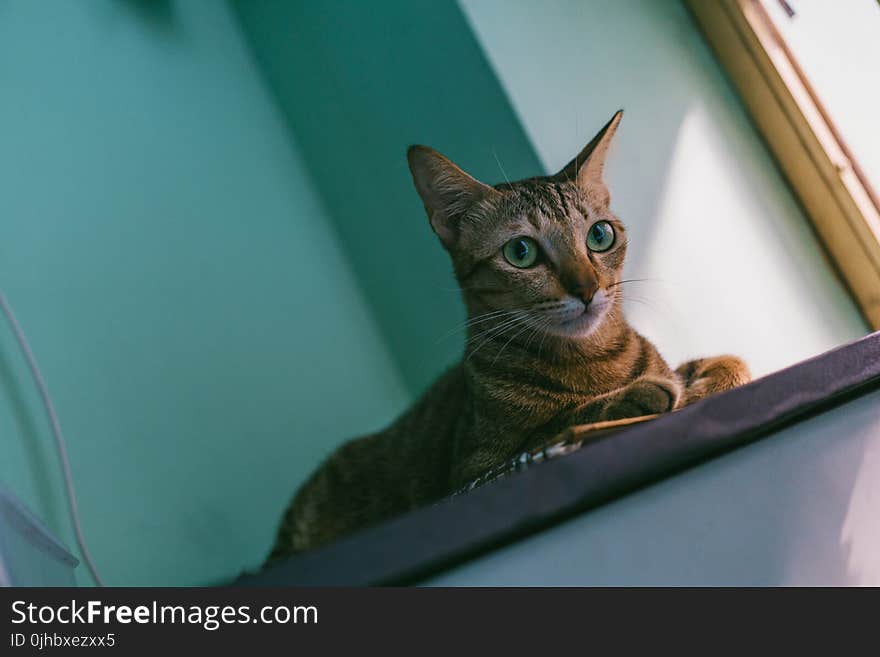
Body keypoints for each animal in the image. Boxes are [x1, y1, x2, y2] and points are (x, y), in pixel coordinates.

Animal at [266, 110, 748, 560]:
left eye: (600, 234)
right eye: (521, 252)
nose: (587, 289)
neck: (590, 359)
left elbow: (726, 361)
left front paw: (708, 377)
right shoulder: (476, 468)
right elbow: (555, 424)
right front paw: (639, 394)